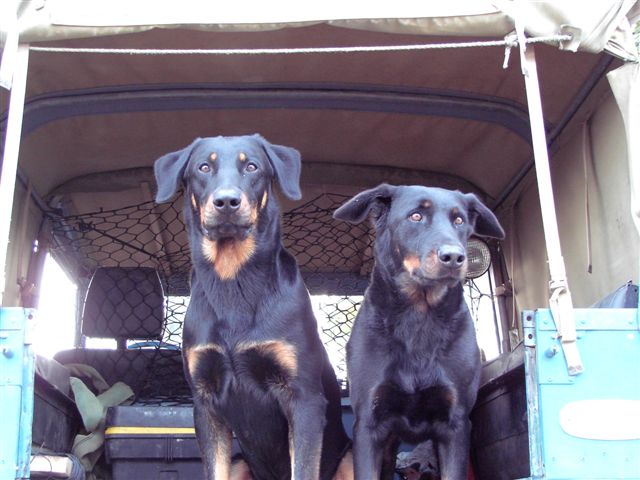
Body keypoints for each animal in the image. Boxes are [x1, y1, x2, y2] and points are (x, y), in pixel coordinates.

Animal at [156, 135, 356, 480]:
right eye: (203, 167)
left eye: (252, 167)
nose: (226, 202)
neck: (232, 279)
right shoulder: (205, 404)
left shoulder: (304, 399)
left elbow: (303, 468)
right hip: (241, 462)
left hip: (351, 458)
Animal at [332, 185, 502, 480]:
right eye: (415, 216)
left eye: (459, 221)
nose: (454, 257)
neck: (419, 316)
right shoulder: (369, 425)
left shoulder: (455, 426)